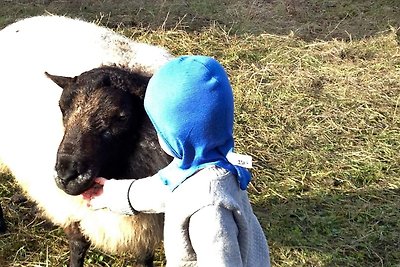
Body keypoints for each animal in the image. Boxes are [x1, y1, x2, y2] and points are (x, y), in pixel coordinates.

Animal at [0, 15, 174, 267]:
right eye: (61, 108)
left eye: (122, 117)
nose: (66, 176)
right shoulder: (72, 210)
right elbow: (78, 246)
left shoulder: (147, 226)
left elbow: (144, 258)